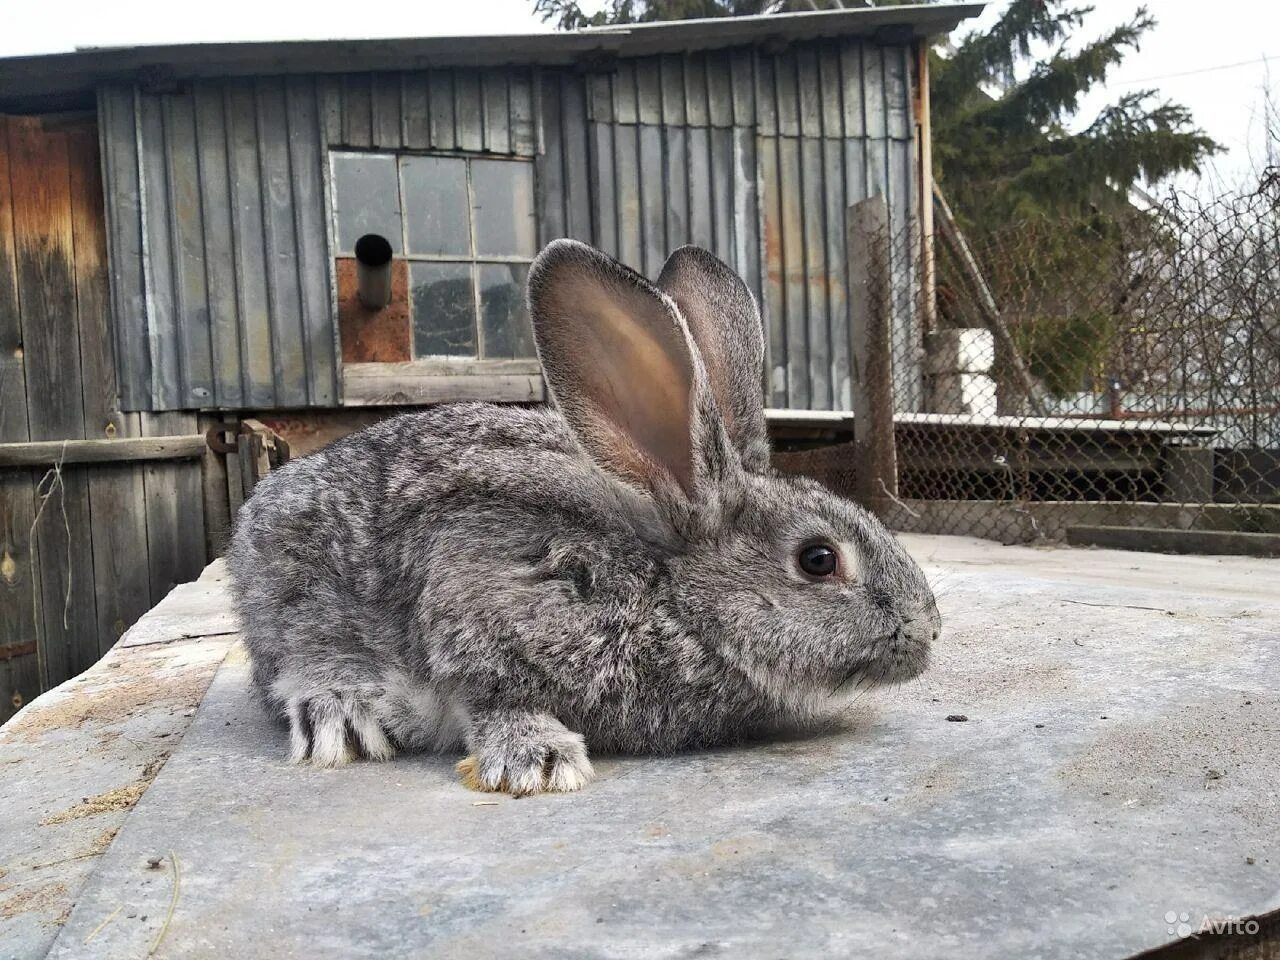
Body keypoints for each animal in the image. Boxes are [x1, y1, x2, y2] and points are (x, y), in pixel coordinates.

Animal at [227, 239, 942, 798]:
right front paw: (539, 759)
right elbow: (488, 692)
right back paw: (337, 715)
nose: (928, 630)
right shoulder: (482, 602)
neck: (670, 591)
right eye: (818, 559)